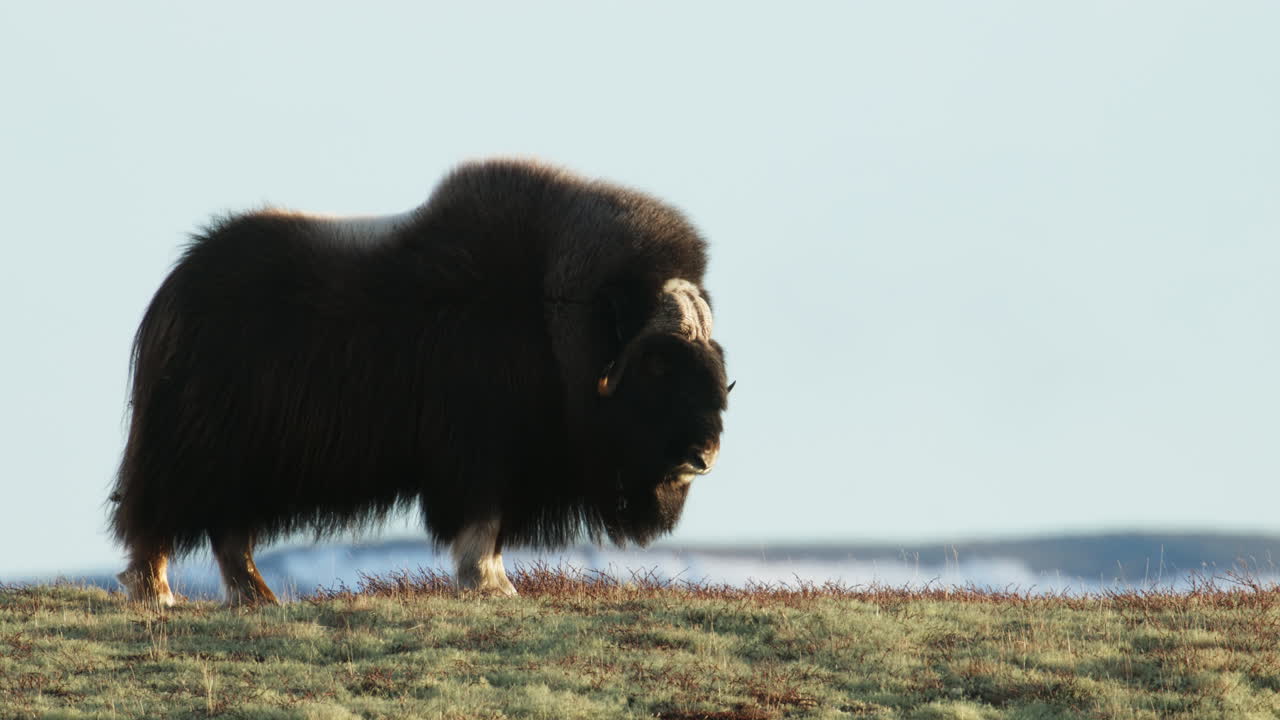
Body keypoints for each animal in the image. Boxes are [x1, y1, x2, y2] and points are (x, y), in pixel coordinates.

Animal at [109, 159, 731, 606]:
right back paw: (159, 593)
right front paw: (492, 586)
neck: (555, 319)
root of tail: (175, 289)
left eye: (717, 360)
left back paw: (257, 597)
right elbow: (482, 521)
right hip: (198, 448)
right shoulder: (481, 452)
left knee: (227, 529)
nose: (704, 456)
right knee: (161, 516)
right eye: (657, 362)